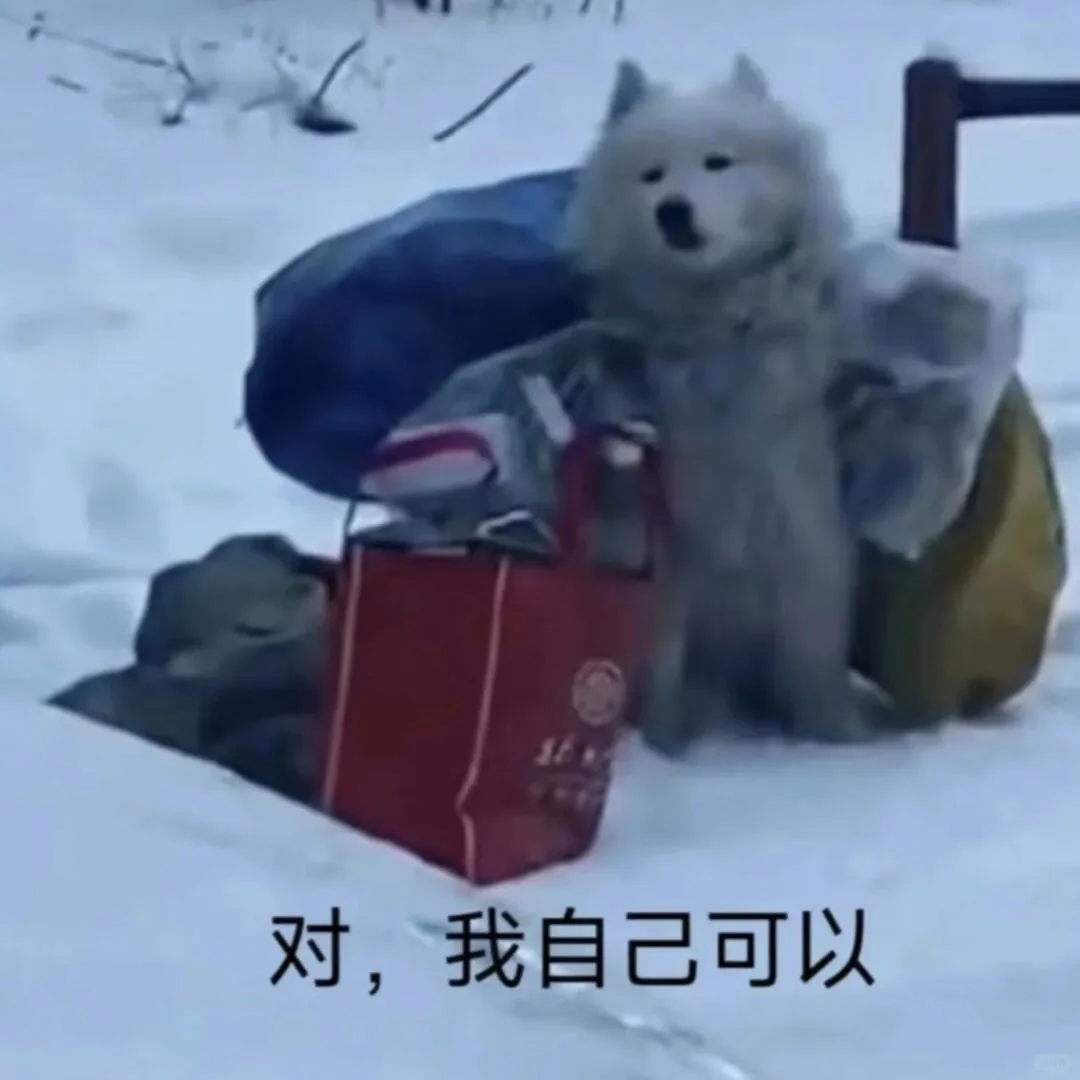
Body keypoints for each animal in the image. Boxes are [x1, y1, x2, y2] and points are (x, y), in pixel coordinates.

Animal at [564, 55, 870, 753]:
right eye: (651, 175)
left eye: (717, 163)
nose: (673, 211)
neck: (716, 329)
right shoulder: (664, 539)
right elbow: (659, 658)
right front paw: (664, 748)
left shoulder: (797, 514)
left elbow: (814, 642)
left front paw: (835, 739)